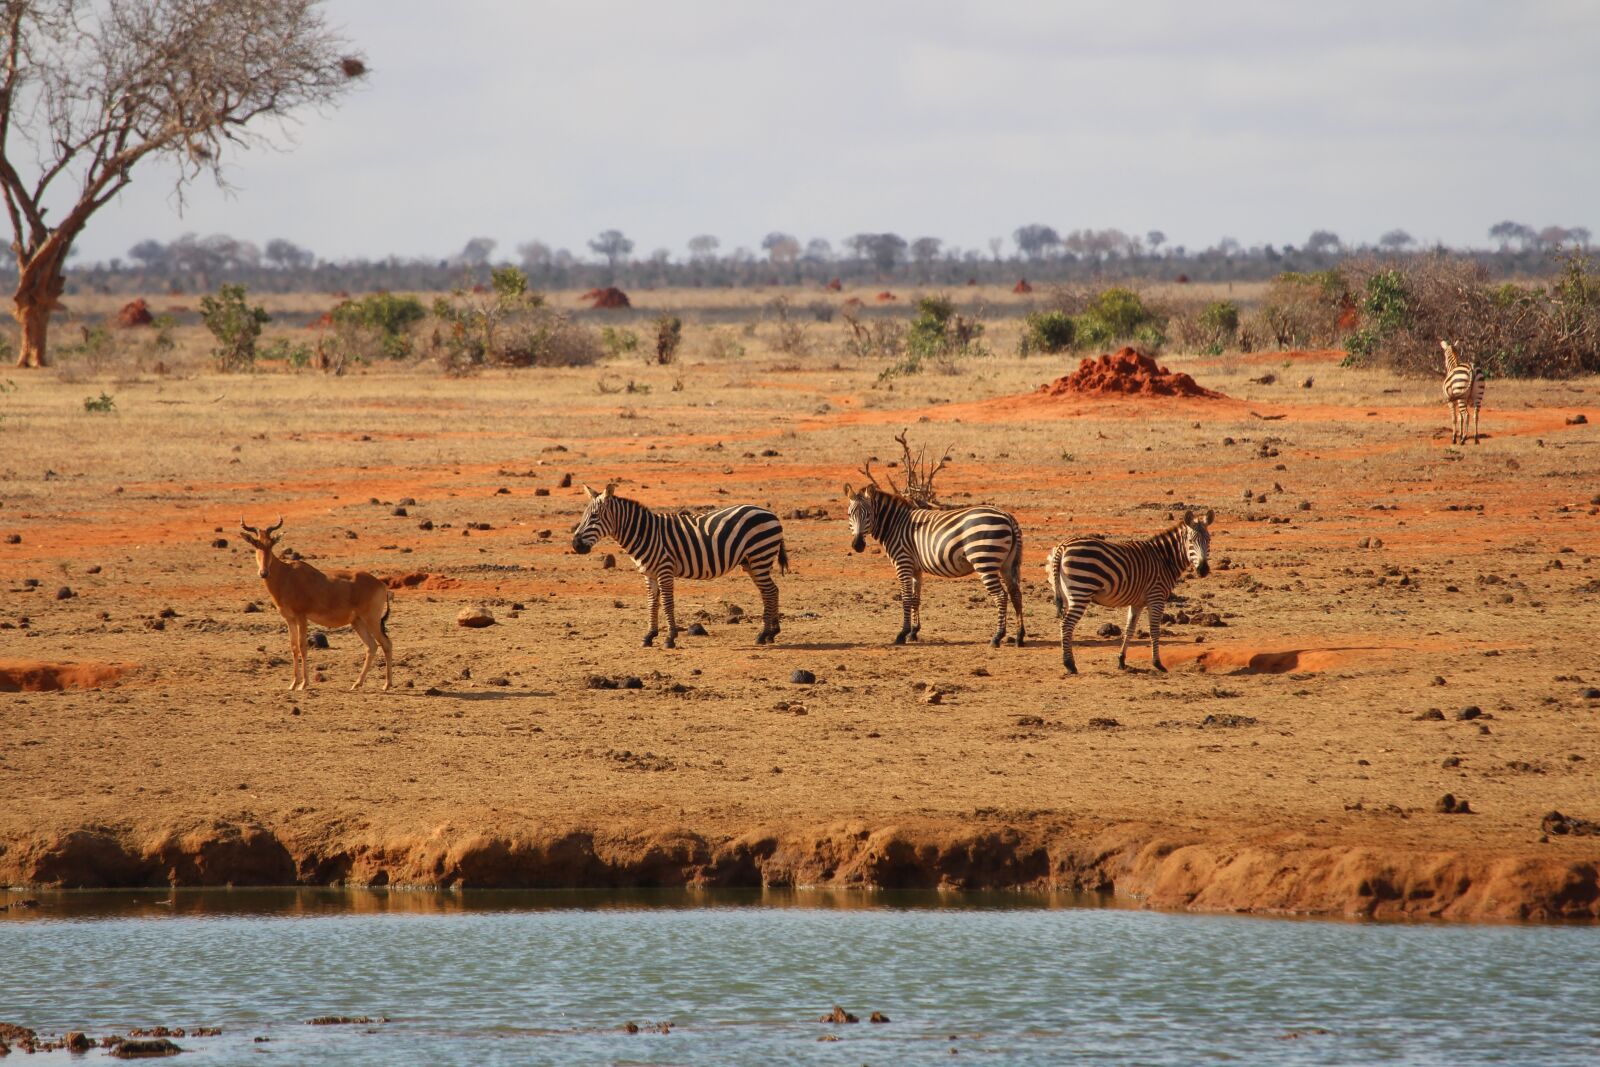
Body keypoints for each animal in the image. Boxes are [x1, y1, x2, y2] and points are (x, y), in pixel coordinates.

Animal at [571, 483, 788, 648]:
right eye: (584, 516)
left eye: (594, 516)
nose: (575, 545)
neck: (645, 533)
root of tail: (770, 513)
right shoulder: (649, 574)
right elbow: (652, 603)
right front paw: (649, 636)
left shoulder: (665, 570)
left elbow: (667, 603)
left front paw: (670, 638)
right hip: (752, 562)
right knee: (772, 591)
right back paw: (771, 633)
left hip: (760, 556)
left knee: (769, 591)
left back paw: (764, 634)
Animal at [843, 483, 1024, 647]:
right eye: (850, 514)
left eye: (868, 514)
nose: (858, 545)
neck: (895, 524)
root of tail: (1008, 516)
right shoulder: (915, 568)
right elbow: (915, 599)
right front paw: (914, 632)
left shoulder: (902, 563)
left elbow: (906, 598)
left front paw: (902, 634)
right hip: (1007, 564)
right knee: (1015, 594)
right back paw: (1019, 637)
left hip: (984, 560)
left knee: (1001, 596)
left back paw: (997, 637)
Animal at [1046, 509, 1214, 674]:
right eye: (1190, 541)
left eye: (1209, 540)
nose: (1203, 570)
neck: (1164, 559)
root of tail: (1063, 546)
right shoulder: (1156, 596)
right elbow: (1154, 630)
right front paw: (1157, 663)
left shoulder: (1137, 603)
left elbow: (1129, 629)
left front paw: (1121, 660)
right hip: (1081, 590)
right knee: (1066, 625)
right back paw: (1070, 665)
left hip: (1067, 594)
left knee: (1065, 624)